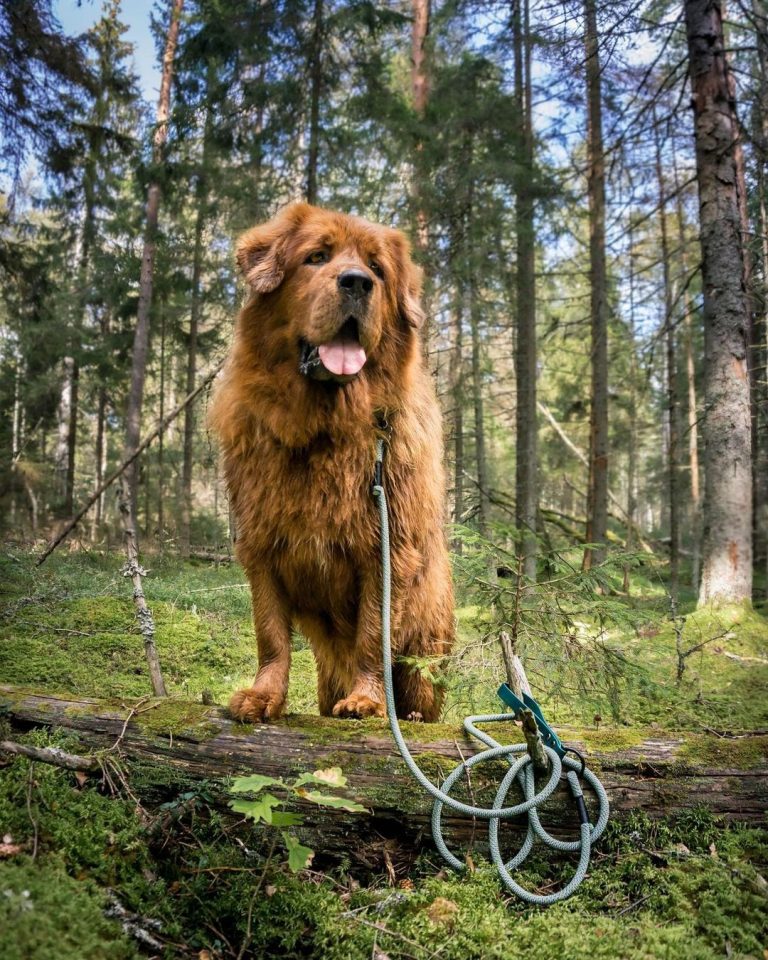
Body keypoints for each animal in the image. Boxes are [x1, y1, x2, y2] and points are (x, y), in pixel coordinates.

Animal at [207, 206, 452, 724]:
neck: (323, 427)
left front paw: (367, 699)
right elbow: (271, 636)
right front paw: (264, 695)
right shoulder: (261, 545)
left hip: (427, 642)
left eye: (378, 269)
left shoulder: (386, 551)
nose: (358, 283)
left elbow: (373, 636)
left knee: (418, 686)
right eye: (316, 257)